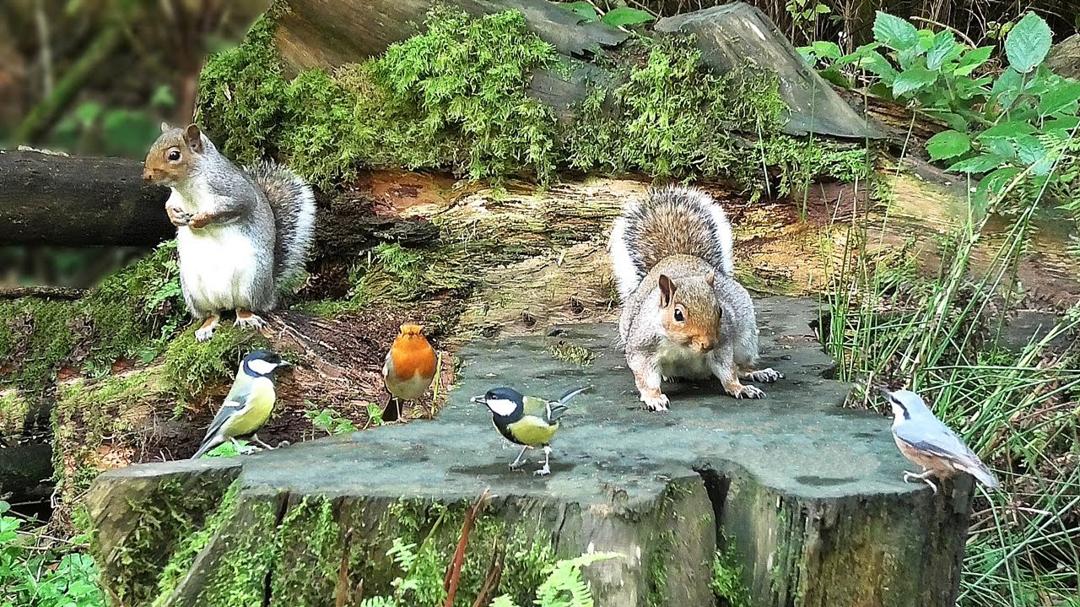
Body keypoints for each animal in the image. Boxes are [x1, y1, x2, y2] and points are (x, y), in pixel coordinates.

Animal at [143, 123, 316, 341]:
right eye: (153, 146)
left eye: (174, 155)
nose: (146, 176)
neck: (187, 186)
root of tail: (269, 293)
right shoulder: (175, 198)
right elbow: (169, 206)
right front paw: (176, 218)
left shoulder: (232, 190)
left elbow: (235, 206)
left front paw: (199, 219)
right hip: (193, 290)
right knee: (214, 313)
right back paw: (207, 326)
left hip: (252, 280)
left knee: (244, 307)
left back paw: (246, 317)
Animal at [609, 185, 782, 411]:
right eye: (678, 315)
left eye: (720, 310)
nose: (708, 344)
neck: (683, 347)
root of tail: (678, 256)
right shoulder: (642, 348)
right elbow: (645, 377)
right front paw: (654, 398)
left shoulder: (723, 343)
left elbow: (728, 370)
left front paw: (739, 388)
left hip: (746, 339)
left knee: (740, 365)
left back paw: (757, 372)